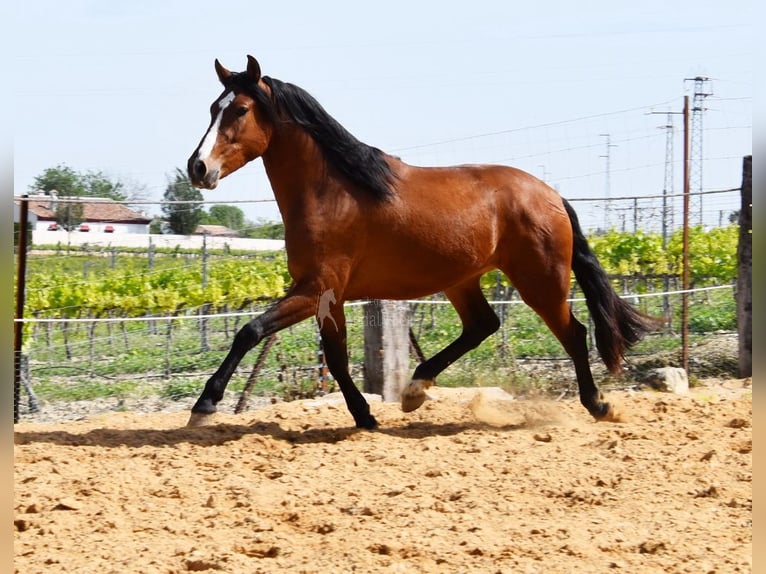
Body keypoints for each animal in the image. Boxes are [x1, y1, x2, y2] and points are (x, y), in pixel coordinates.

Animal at [186, 55, 661, 429]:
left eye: (240, 109)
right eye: (211, 108)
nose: (197, 167)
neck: (333, 193)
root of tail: (551, 195)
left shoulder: (315, 288)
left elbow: (249, 331)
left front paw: (204, 405)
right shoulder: (327, 295)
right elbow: (335, 358)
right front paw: (365, 417)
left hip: (540, 282)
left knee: (573, 333)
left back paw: (598, 405)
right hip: (462, 280)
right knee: (483, 325)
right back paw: (415, 389)